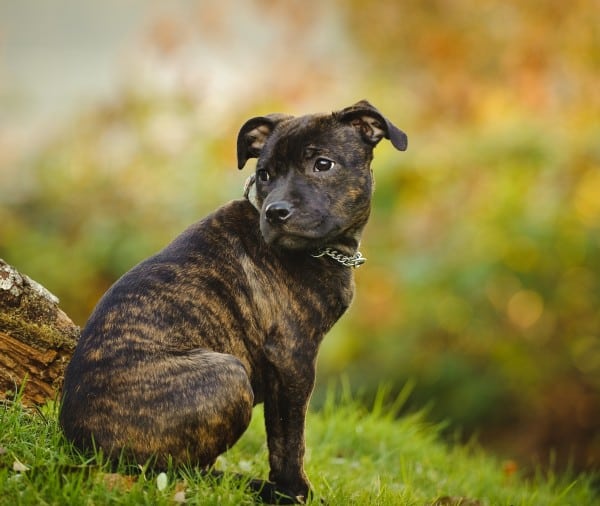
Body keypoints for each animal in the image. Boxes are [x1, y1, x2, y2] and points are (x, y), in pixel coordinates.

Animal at [59, 99, 408, 502]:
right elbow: (290, 439)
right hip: (228, 374)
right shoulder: (292, 358)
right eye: (264, 174)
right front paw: (295, 493)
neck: (324, 250)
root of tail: (78, 445)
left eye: (323, 164)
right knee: (177, 472)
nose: (276, 212)